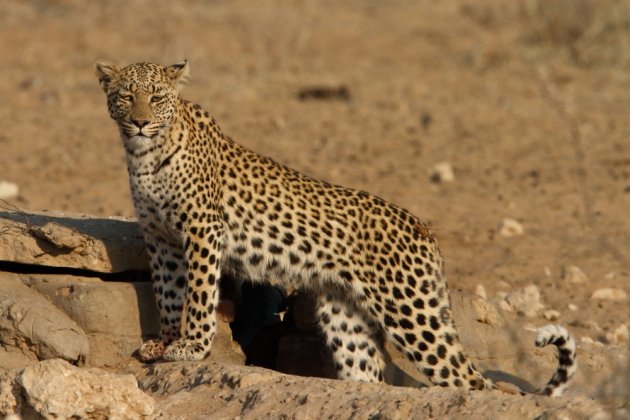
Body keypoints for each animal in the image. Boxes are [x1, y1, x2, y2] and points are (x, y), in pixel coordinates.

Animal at [94, 60, 576, 398]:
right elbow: (168, 293)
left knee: (467, 381)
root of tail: (424, 229)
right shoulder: (161, 239)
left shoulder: (200, 232)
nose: (139, 122)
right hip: (346, 318)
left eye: (156, 97)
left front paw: (190, 347)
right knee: (371, 378)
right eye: (125, 96)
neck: (143, 156)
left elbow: (196, 295)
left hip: (412, 313)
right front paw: (162, 343)